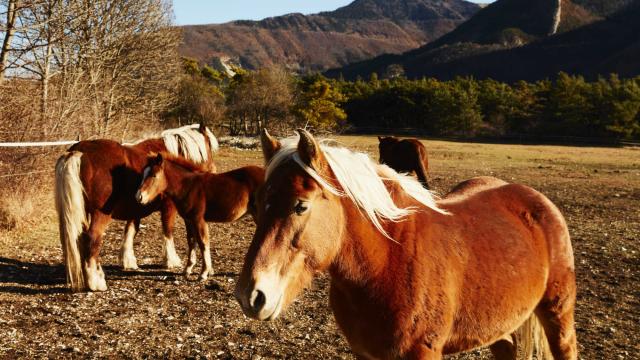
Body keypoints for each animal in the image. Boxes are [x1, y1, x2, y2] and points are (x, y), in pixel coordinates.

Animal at [55, 124, 220, 292]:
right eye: (209, 145)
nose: (213, 170)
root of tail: (79, 152)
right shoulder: (168, 207)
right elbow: (168, 231)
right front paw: (171, 260)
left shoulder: (135, 209)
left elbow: (131, 230)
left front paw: (128, 261)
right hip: (99, 214)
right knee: (91, 238)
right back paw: (96, 282)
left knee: (79, 238)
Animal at [135, 152, 264, 282]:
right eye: (143, 174)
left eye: (154, 175)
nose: (138, 197)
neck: (188, 186)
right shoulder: (188, 220)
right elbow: (192, 241)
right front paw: (188, 269)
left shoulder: (198, 220)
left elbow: (203, 243)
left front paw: (204, 273)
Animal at [235, 130, 576, 360]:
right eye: (258, 204)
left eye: (300, 206)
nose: (250, 296)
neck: (387, 261)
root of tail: (536, 199)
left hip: (558, 316)